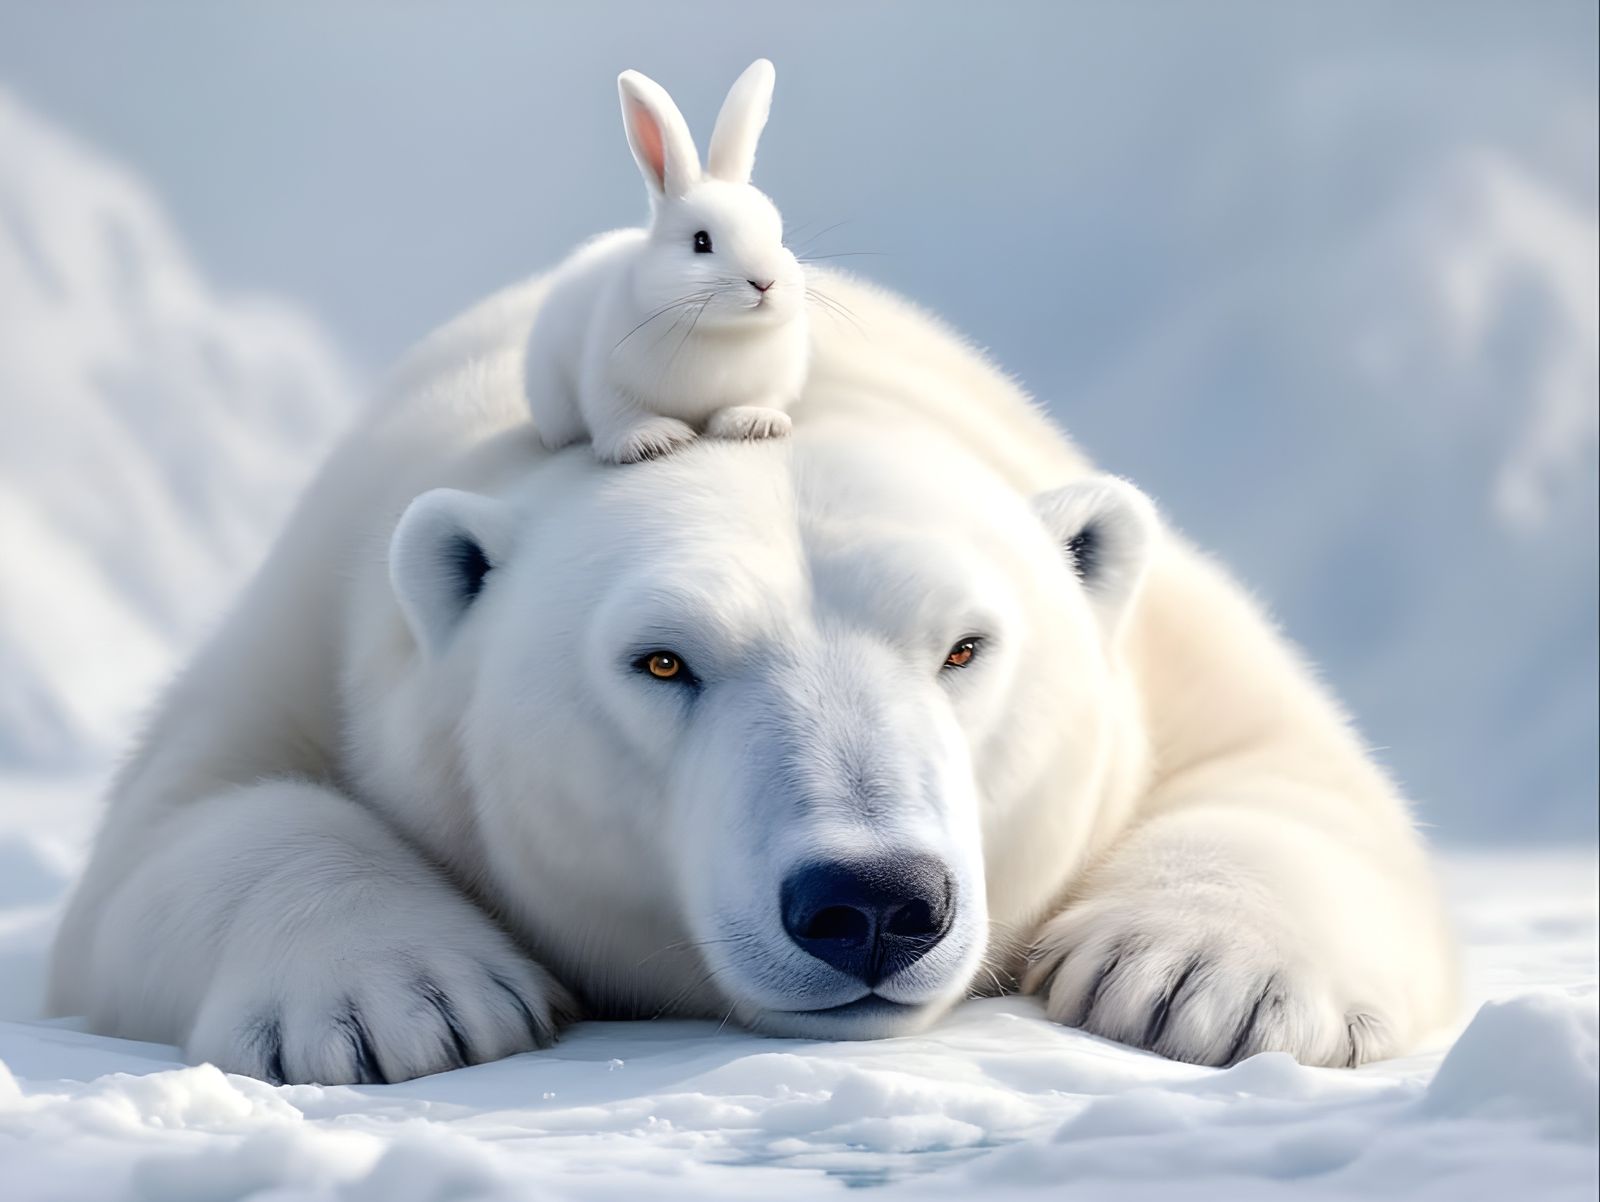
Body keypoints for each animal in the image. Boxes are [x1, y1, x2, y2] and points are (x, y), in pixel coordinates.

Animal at [47, 269, 1458, 1085]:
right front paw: (401, 1000)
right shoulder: (323, 614)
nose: (873, 901)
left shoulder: (1164, 635)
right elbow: (187, 821)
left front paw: (1202, 980)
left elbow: (1294, 764)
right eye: (663, 658)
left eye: (964, 644)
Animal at [524, 59, 809, 464]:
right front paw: (650, 439)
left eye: (780, 238)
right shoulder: (608, 381)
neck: (721, 334)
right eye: (701, 241)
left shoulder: (772, 381)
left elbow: (757, 401)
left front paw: (755, 423)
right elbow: (617, 416)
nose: (764, 282)